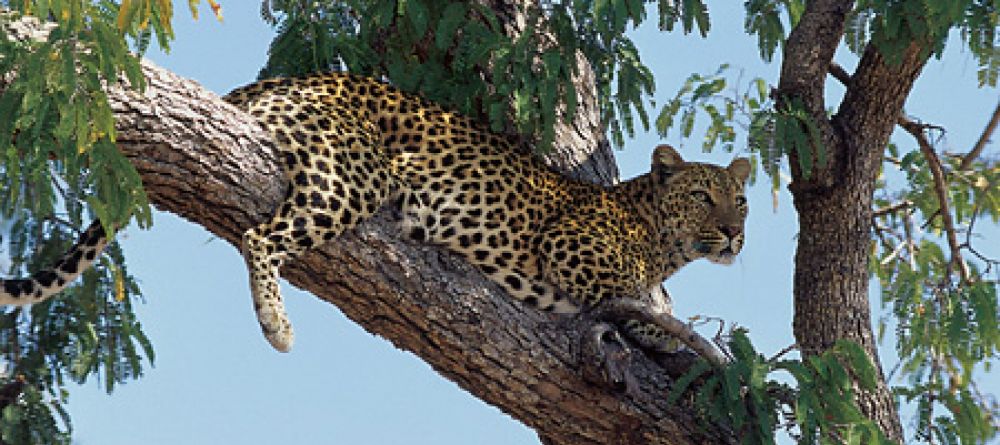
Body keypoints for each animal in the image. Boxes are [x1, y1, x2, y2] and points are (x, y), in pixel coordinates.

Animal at [1, 72, 750, 355]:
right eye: (702, 196)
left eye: (739, 199)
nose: (734, 232)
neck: (662, 238)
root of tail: (288, 78)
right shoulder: (567, 244)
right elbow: (633, 297)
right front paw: (670, 330)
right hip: (352, 178)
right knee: (259, 235)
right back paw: (277, 326)